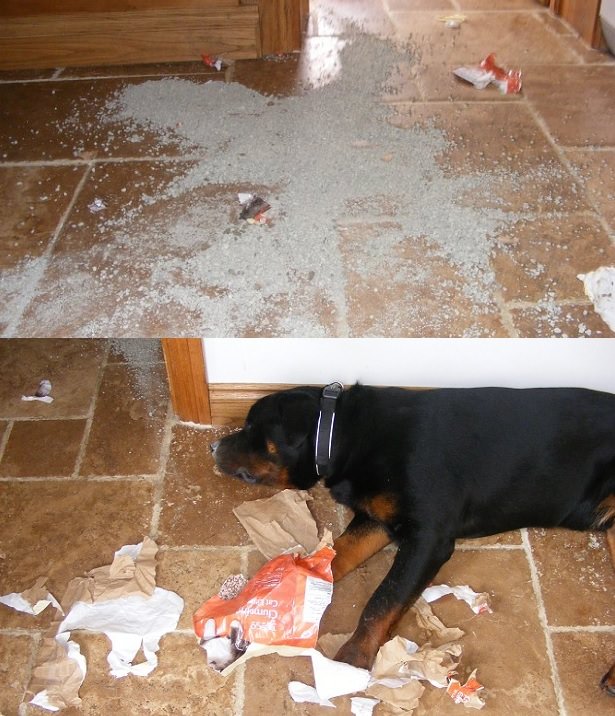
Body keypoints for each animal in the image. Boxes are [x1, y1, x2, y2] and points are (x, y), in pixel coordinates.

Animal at [212, 386, 615, 692]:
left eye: (251, 427)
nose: (213, 447)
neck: (346, 435)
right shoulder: (379, 519)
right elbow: (336, 554)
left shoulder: (428, 537)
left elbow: (383, 598)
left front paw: (354, 656)